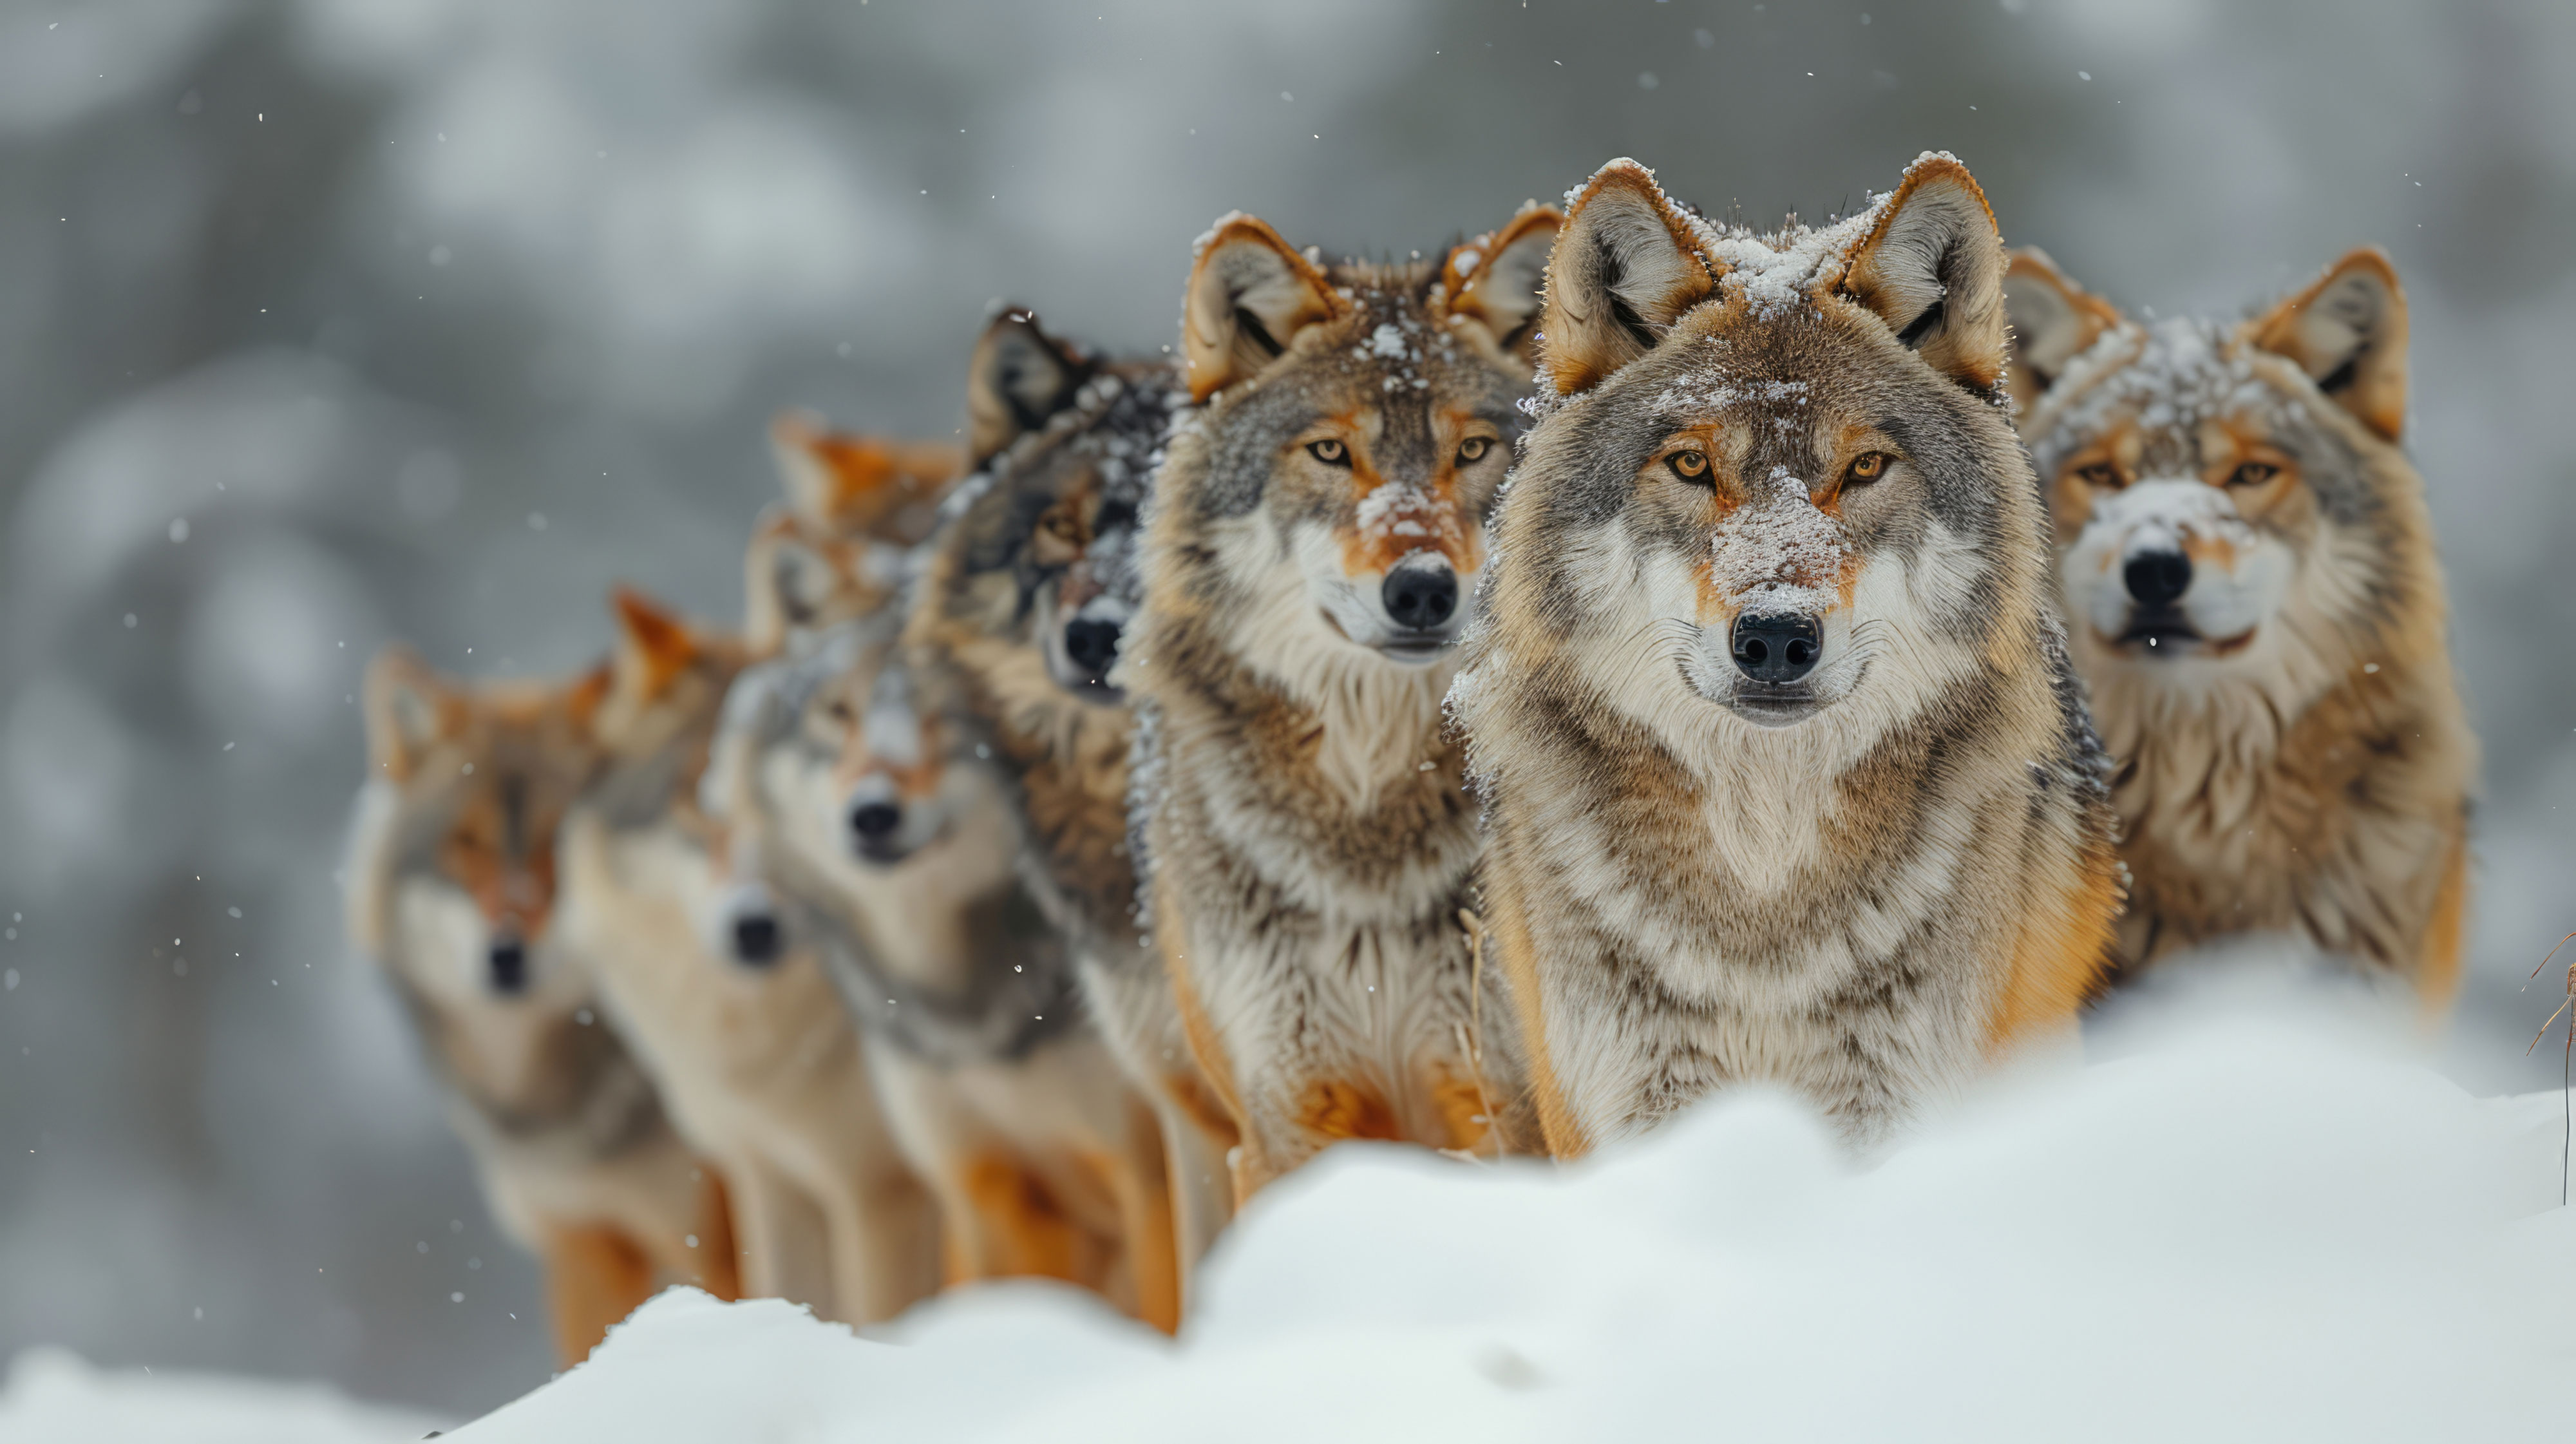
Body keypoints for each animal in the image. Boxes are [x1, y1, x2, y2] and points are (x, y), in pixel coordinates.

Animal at [718, 608, 1181, 1331]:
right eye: (837, 712)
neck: (967, 1014)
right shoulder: (981, 1187)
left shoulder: (1146, 1172)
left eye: (945, 716)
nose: (873, 813)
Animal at [1123, 203, 1561, 1194]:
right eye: (1330, 450)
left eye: (1472, 449)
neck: (1368, 827)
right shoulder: (1285, 1115)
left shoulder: (1503, 1101)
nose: (1423, 590)